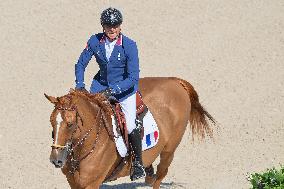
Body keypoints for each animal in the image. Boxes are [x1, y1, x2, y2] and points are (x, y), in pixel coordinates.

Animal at [44, 77, 214, 189]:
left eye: (70, 124)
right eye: (51, 121)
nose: (56, 160)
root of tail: (174, 81)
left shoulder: (92, 184)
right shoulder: (74, 183)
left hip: (169, 150)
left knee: (160, 175)